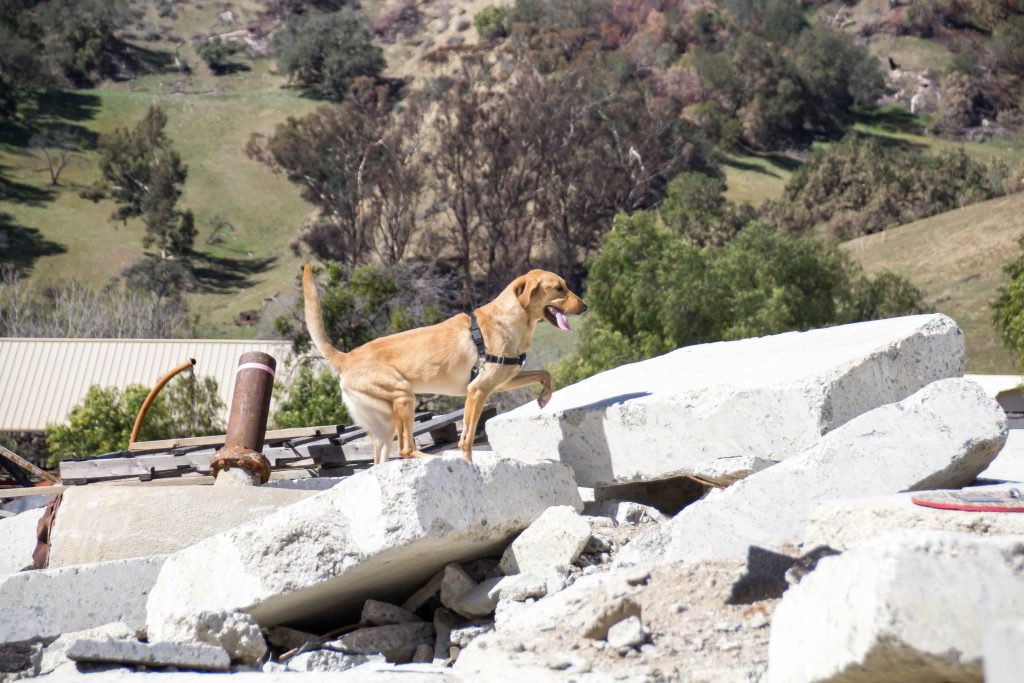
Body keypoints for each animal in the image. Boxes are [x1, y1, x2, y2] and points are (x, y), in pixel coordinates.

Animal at [301, 264, 585, 462]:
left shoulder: (503, 381)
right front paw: (469, 464)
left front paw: (545, 397)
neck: (508, 320)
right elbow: (467, 438)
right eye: (559, 288)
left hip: (385, 424)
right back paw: (431, 459)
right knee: (406, 449)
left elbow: (545, 373)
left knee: (381, 461)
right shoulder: (477, 390)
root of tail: (347, 357)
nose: (585, 306)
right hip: (404, 395)